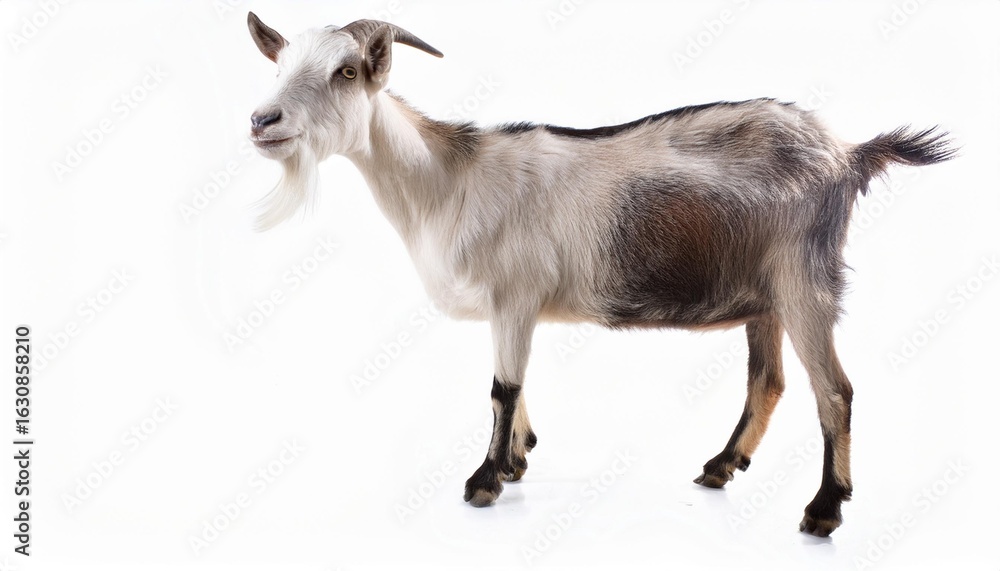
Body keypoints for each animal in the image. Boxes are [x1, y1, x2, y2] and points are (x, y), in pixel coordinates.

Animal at [245, 12, 955, 537]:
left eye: (345, 71)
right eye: (278, 66)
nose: (262, 120)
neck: (449, 183)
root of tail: (846, 153)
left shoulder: (515, 292)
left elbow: (502, 387)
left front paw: (484, 480)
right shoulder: (516, 307)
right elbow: (517, 383)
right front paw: (519, 459)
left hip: (805, 280)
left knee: (834, 391)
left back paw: (824, 510)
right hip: (766, 296)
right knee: (769, 382)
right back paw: (722, 466)